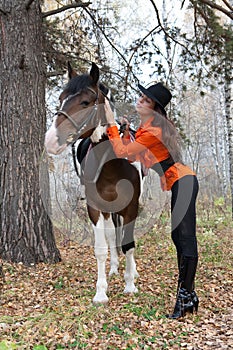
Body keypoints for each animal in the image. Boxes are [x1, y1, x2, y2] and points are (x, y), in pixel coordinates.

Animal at [44, 61, 141, 302]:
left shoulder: (131, 207)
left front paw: (130, 284)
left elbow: (129, 244)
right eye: (61, 98)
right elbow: (100, 248)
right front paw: (101, 292)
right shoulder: (95, 207)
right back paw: (114, 268)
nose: (51, 141)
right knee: (111, 235)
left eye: (85, 102)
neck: (113, 164)